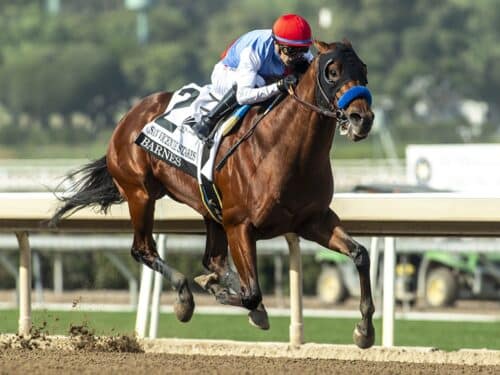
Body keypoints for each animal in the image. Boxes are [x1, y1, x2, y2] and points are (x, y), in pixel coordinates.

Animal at [52, 39, 376, 348]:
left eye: (363, 69)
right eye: (332, 71)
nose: (362, 118)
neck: (284, 150)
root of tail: (129, 116)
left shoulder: (313, 220)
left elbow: (360, 254)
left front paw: (364, 330)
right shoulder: (240, 224)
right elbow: (252, 293)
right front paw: (219, 292)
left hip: (209, 208)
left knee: (213, 259)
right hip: (141, 194)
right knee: (143, 249)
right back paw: (185, 297)